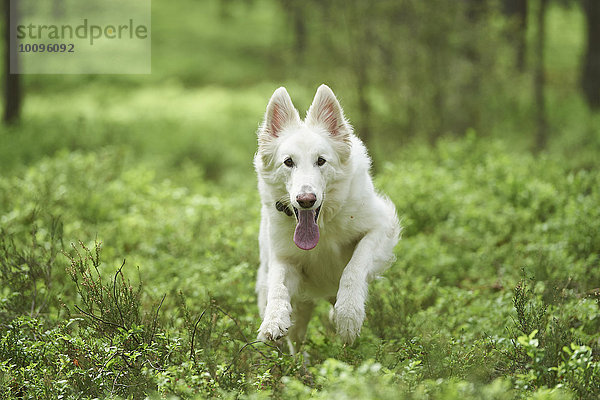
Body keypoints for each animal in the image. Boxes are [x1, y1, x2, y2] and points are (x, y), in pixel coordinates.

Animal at [254, 84, 400, 350]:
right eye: (288, 162)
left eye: (321, 161)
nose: (306, 200)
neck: (323, 226)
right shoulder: (284, 257)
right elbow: (278, 284)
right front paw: (274, 319)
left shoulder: (380, 227)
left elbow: (355, 266)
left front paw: (348, 315)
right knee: (296, 342)